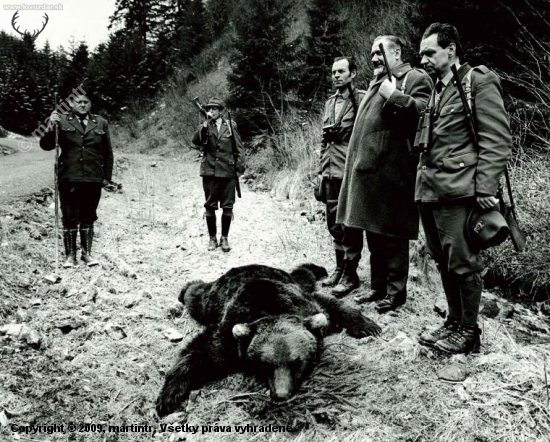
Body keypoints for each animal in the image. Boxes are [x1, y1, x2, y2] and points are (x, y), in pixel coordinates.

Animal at [154, 264, 380, 416]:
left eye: (297, 363)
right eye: (265, 364)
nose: (281, 394)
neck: (273, 310)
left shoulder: (307, 305)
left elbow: (333, 306)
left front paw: (368, 325)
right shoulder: (230, 335)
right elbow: (200, 353)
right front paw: (168, 396)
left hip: (290, 279)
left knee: (304, 276)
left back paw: (319, 269)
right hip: (212, 299)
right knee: (196, 297)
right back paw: (186, 288)